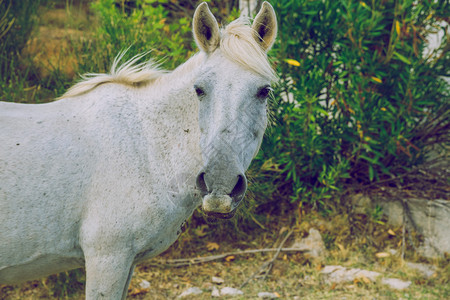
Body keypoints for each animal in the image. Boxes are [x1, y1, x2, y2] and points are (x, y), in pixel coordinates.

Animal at [0, 1, 278, 298]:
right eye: (199, 89)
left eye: (264, 91)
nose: (220, 188)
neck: (146, 146)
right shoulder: (107, 259)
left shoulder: (128, 262)